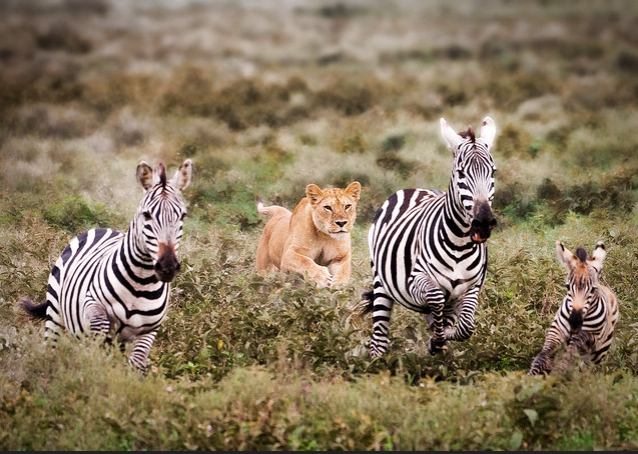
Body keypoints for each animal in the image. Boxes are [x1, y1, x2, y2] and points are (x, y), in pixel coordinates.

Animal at [21, 160, 194, 372]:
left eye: (183, 216)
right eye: (147, 215)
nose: (168, 266)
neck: (141, 282)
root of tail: (101, 228)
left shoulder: (149, 330)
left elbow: (137, 363)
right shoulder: (93, 304)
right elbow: (100, 333)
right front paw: (96, 365)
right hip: (54, 314)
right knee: (52, 346)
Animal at [360, 115, 500, 356]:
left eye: (493, 172)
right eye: (461, 173)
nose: (483, 223)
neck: (460, 243)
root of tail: (411, 189)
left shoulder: (472, 287)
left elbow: (465, 326)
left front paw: (439, 339)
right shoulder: (415, 280)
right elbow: (436, 299)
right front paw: (437, 340)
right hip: (381, 284)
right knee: (379, 340)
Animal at [528, 241, 620, 376]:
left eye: (593, 289)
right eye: (567, 286)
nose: (575, 322)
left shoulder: (589, 337)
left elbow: (568, 357)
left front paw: (556, 375)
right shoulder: (556, 332)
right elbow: (542, 357)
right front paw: (529, 378)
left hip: (599, 351)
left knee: (586, 370)